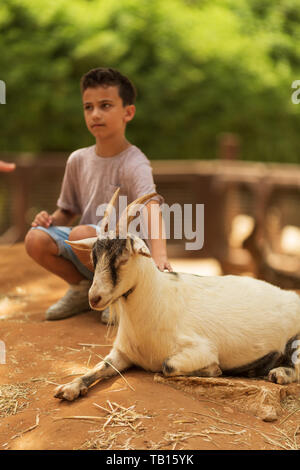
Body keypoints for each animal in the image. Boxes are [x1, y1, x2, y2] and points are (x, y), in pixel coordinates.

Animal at [54, 191, 300, 400]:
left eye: (123, 257)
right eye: (94, 257)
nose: (94, 298)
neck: (157, 300)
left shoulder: (200, 349)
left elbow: (168, 366)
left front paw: (214, 370)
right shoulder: (121, 353)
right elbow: (99, 366)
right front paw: (69, 388)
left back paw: (277, 373)